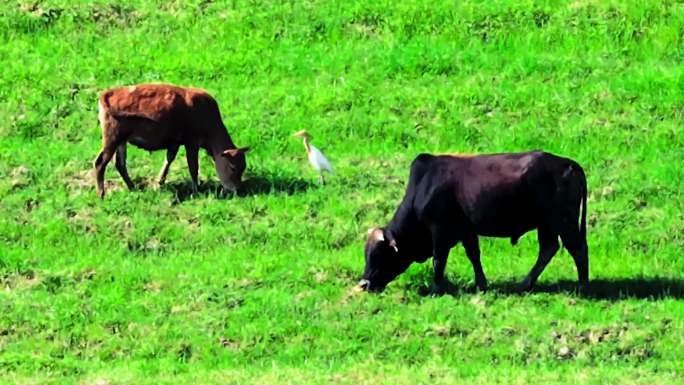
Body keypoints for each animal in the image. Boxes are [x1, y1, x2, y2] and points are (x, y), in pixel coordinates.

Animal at [93, 84, 248, 198]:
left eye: (243, 167)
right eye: (233, 167)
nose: (237, 189)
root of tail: (106, 94)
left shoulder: (175, 143)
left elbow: (169, 160)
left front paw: (159, 183)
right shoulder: (191, 143)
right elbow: (193, 167)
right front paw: (196, 191)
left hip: (121, 141)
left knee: (120, 164)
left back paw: (133, 187)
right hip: (112, 139)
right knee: (100, 162)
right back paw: (101, 194)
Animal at [358, 151, 588, 294]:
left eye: (379, 254)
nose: (363, 284)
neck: (423, 187)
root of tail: (568, 163)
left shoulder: (440, 231)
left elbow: (439, 260)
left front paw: (436, 289)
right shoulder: (467, 231)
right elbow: (474, 256)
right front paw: (481, 284)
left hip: (563, 222)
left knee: (578, 250)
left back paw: (583, 287)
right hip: (547, 225)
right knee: (549, 249)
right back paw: (525, 284)